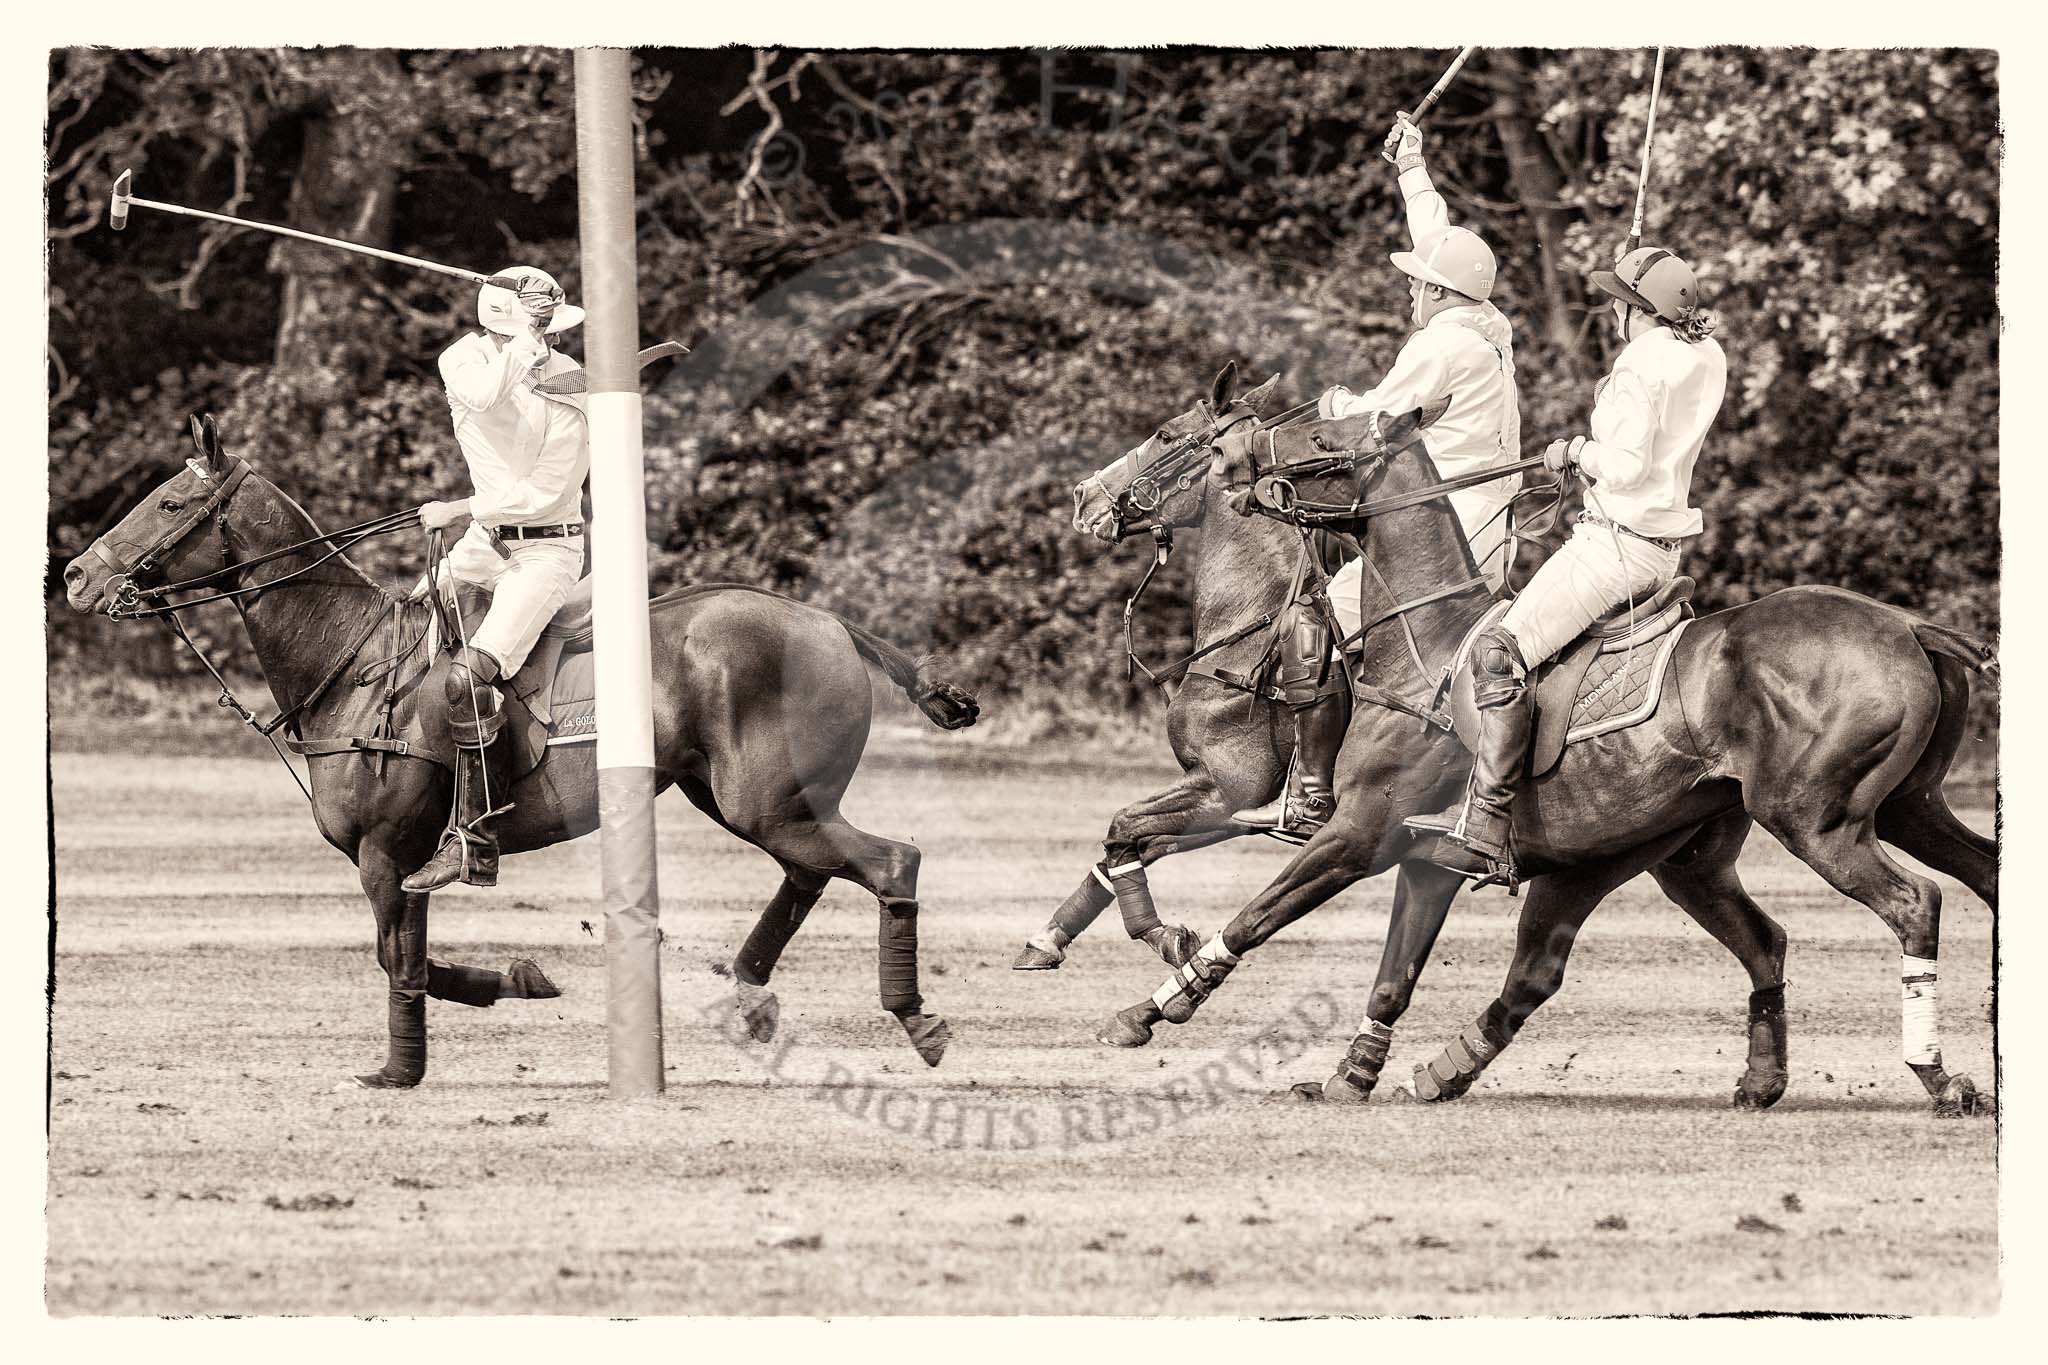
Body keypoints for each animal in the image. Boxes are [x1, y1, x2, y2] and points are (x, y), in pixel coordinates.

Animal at [68, 417, 978, 1088]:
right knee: (812, 871)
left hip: (765, 800)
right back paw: (747, 996)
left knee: (889, 861)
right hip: (740, 797)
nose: (76, 575)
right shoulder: (405, 858)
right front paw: (487, 1002)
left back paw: (915, 1018)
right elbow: (410, 956)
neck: (351, 662)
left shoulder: (383, 853)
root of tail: (833, 623)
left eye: (169, 502)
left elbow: (398, 959)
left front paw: (408, 1063)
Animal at [1105, 401, 1998, 1113]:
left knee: (1915, 902)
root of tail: (1910, 625)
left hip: (1818, 817)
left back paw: (1937, 1074)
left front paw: (1156, 1004)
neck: (1420, 645)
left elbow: (1255, 916)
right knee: (1818, 922)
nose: (1241, 470)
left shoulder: (1355, 835)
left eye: (1323, 438)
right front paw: (1353, 1072)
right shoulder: (1425, 860)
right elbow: (1394, 973)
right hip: (1821, 825)